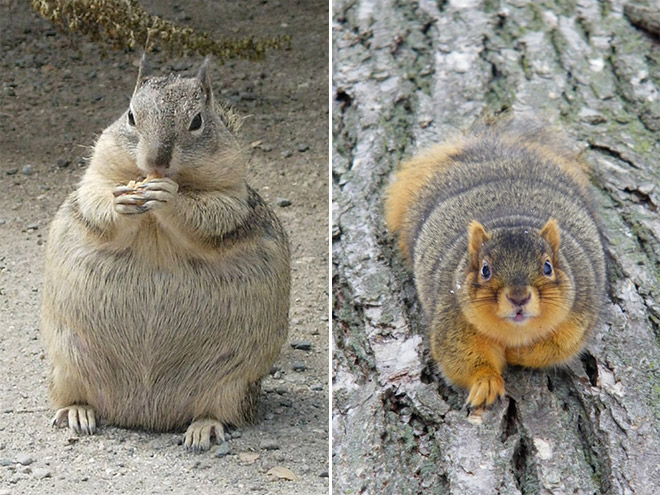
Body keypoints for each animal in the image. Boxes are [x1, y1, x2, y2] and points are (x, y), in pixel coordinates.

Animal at [40, 56, 288, 452]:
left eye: (197, 121)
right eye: (130, 116)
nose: (156, 162)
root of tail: (145, 416)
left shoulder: (232, 200)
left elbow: (208, 216)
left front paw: (170, 197)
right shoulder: (93, 180)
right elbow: (97, 203)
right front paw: (122, 201)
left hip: (233, 385)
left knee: (220, 411)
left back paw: (203, 429)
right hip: (67, 366)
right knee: (72, 397)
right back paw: (77, 413)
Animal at [384, 120, 604, 410]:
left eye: (548, 267)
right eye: (485, 270)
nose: (519, 298)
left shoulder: (579, 316)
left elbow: (555, 348)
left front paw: (518, 353)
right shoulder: (452, 321)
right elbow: (461, 359)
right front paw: (486, 383)